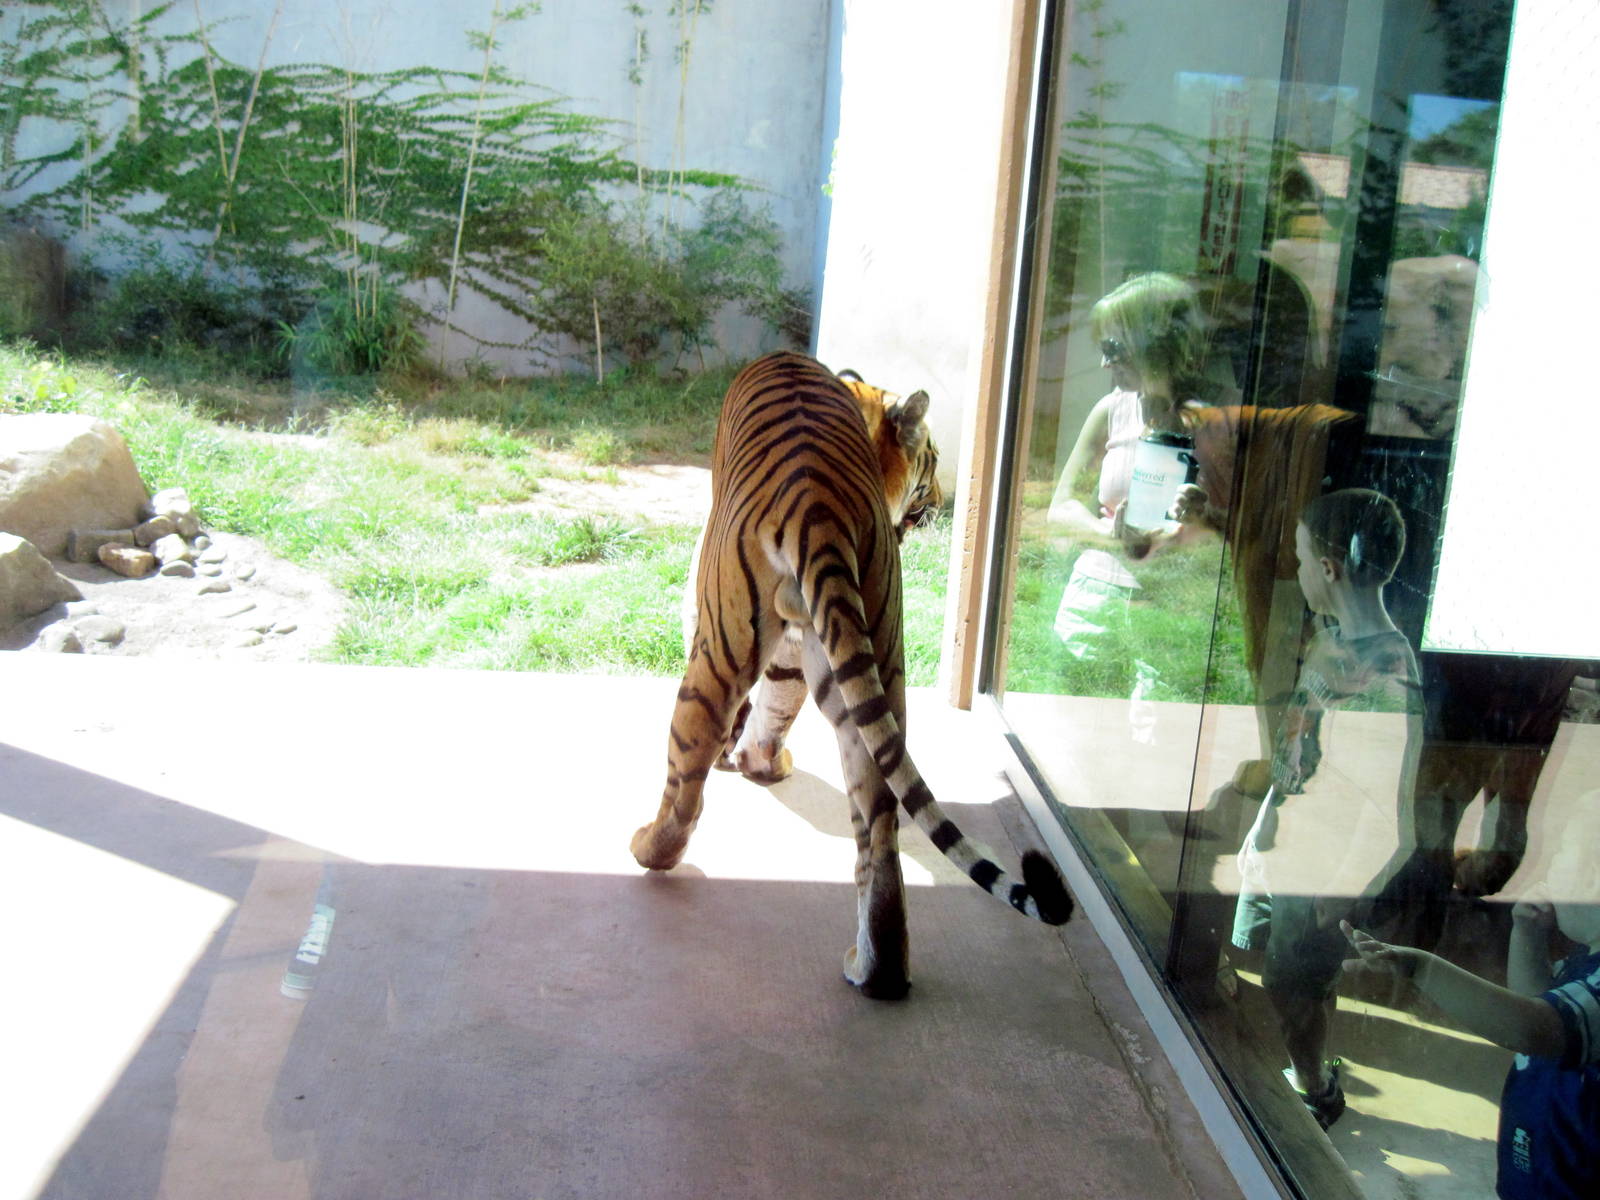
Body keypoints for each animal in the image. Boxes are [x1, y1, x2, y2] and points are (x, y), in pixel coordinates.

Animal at [631, 351, 1073, 999]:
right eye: (933, 456)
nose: (944, 497)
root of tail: (815, 504)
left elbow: (757, 708)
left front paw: (747, 763)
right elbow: (780, 702)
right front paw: (759, 763)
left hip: (721, 647)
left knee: (687, 772)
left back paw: (649, 848)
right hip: (878, 652)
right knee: (880, 820)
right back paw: (878, 969)